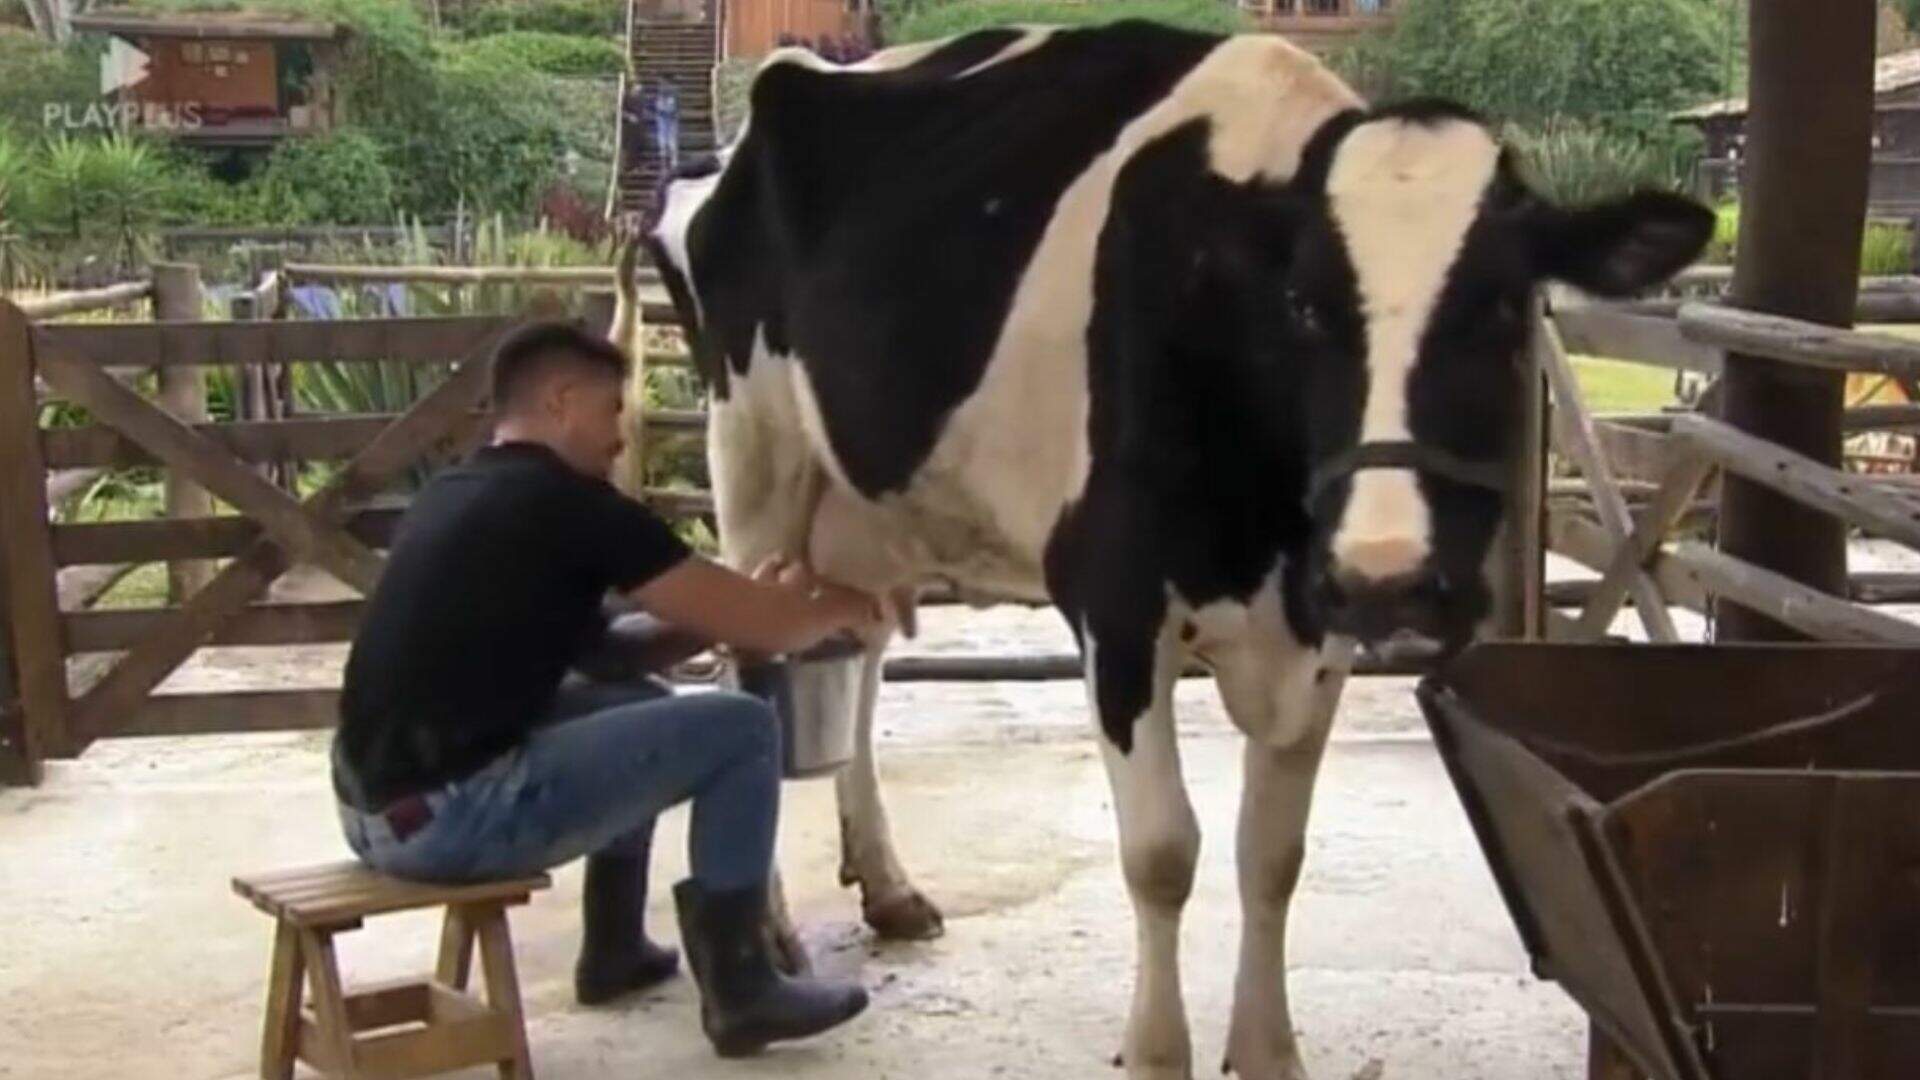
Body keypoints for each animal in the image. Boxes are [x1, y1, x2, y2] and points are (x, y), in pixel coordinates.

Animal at [648, 21, 1712, 1068]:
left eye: (1501, 306)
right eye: (1306, 307)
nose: (1390, 575)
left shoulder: (1318, 627)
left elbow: (1271, 854)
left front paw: (1269, 1048)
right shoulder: (1116, 606)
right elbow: (1162, 855)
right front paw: (1159, 1049)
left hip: (863, 499)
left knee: (856, 654)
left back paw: (889, 885)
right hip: (753, 461)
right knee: (757, 664)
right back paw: (772, 933)